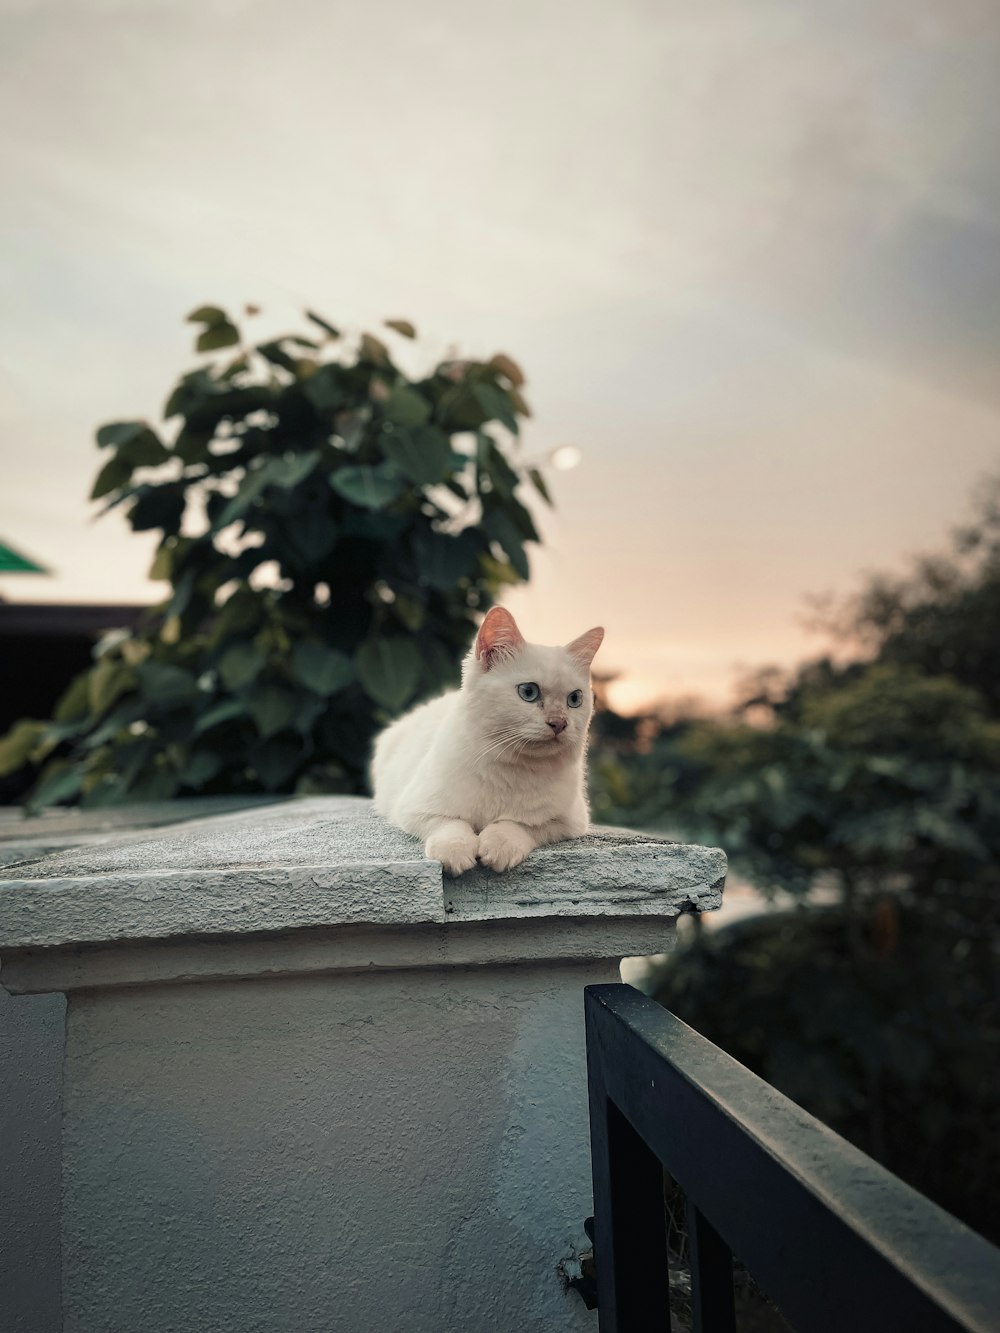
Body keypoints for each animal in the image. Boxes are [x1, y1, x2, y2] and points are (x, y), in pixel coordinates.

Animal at [373, 607, 602, 874]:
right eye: (528, 692)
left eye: (574, 699)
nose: (559, 723)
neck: (512, 768)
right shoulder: (414, 807)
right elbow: (450, 824)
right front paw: (456, 854)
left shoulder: (567, 821)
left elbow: (517, 824)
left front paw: (498, 847)